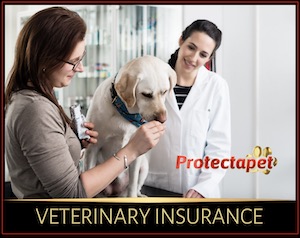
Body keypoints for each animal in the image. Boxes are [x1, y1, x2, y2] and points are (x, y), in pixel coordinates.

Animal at [83, 55, 177, 197]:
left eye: (165, 91)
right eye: (147, 94)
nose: (162, 120)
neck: (125, 112)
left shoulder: (136, 155)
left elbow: (133, 184)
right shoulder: (93, 148)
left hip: (144, 167)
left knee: (136, 187)